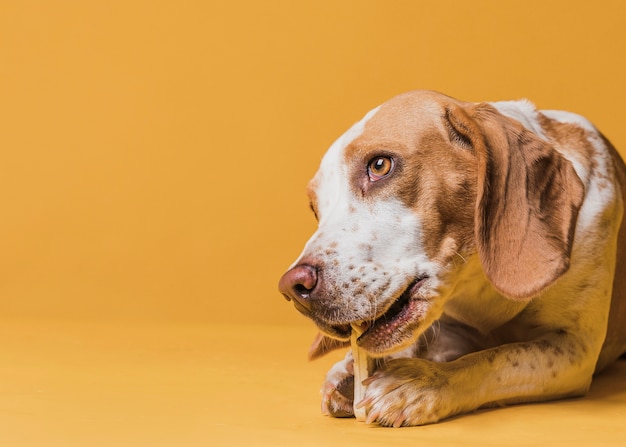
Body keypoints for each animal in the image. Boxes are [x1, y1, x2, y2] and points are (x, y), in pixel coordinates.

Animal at [278, 90, 624, 428]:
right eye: (315, 208)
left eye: (379, 166)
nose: (293, 288)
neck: (479, 282)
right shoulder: (451, 328)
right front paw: (352, 371)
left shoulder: (576, 348)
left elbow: (496, 358)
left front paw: (420, 384)